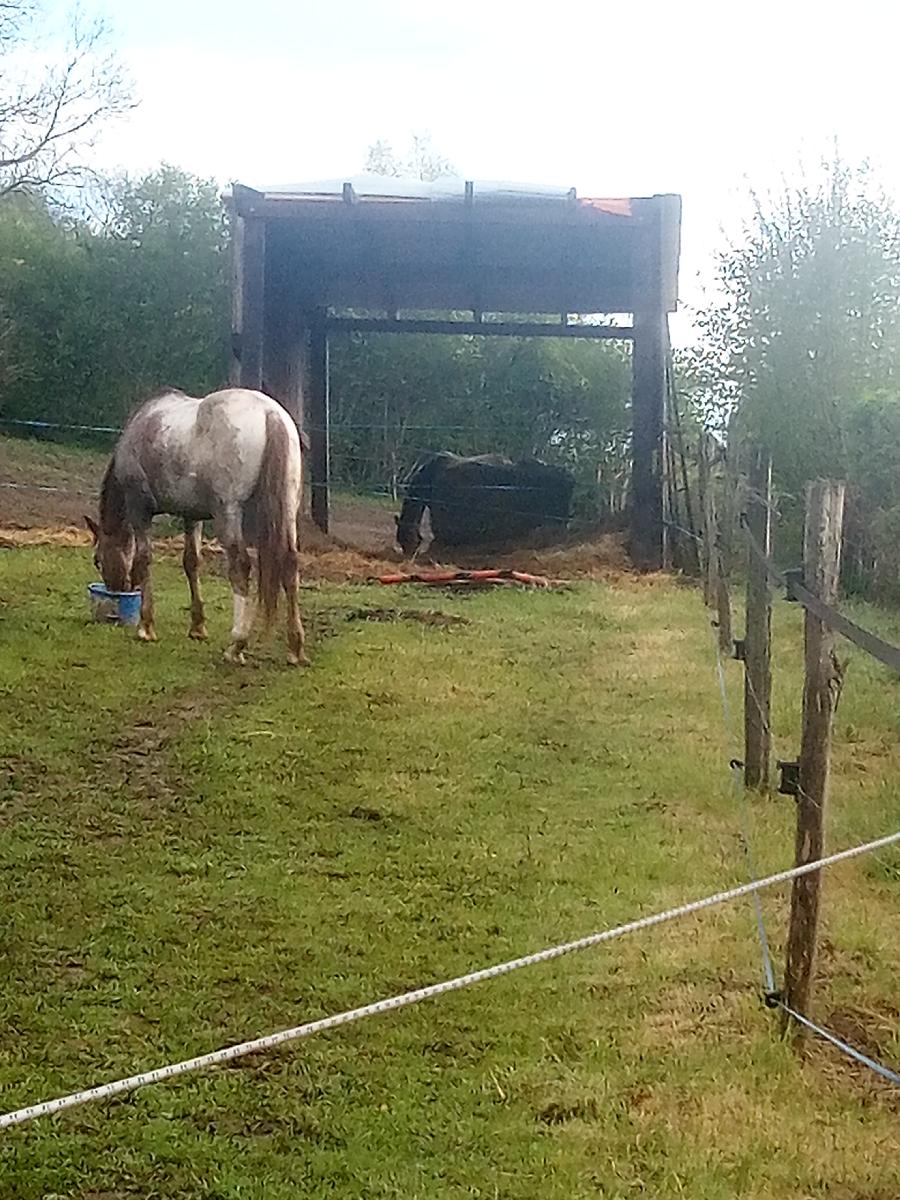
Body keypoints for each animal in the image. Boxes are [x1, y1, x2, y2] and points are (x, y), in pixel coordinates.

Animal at [86, 386, 309, 667]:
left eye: (97, 560)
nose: (116, 592)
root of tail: (270, 414)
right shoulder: (192, 516)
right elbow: (192, 563)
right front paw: (197, 627)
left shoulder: (139, 509)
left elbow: (142, 560)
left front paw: (146, 627)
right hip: (288, 510)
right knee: (290, 565)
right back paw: (295, 648)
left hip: (228, 513)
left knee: (240, 566)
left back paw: (236, 644)